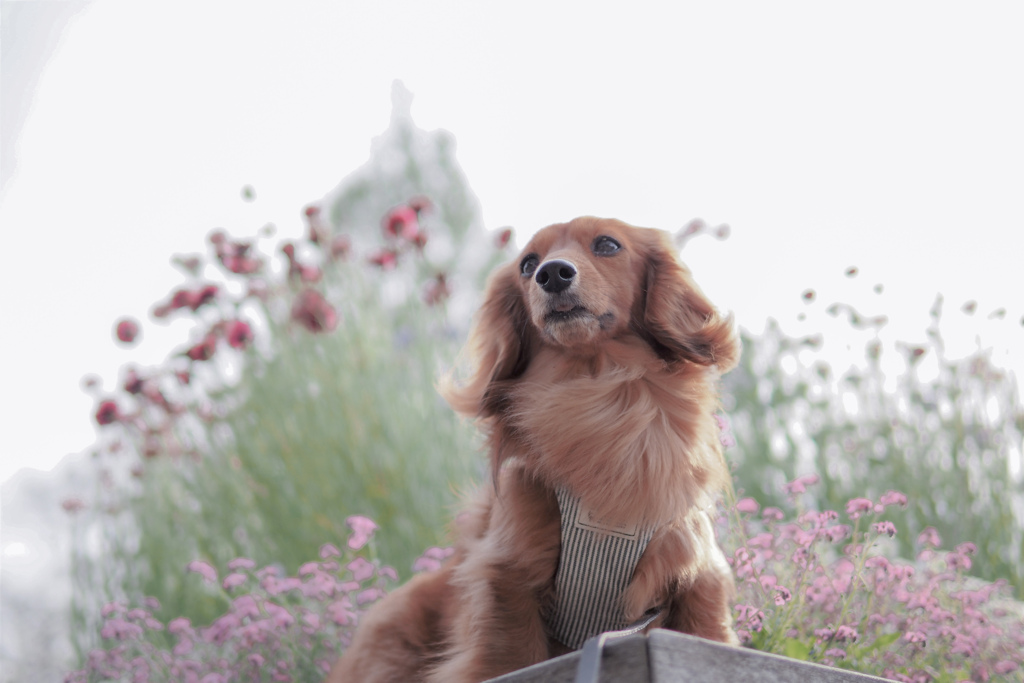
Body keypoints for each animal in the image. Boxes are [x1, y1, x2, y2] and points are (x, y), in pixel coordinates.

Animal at [331, 216, 741, 679]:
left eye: (607, 244)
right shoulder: (508, 580)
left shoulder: (696, 579)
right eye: (527, 265)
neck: (601, 396)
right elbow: (513, 660)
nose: (553, 273)